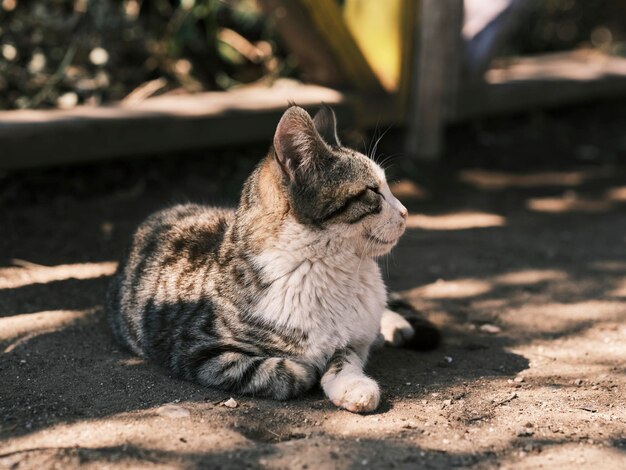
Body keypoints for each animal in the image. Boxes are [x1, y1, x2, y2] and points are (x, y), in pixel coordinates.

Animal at [106, 105, 438, 412]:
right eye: (372, 191)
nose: (406, 212)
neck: (330, 267)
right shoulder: (198, 349)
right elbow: (281, 372)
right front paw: (309, 367)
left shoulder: (352, 338)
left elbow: (346, 356)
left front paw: (354, 386)